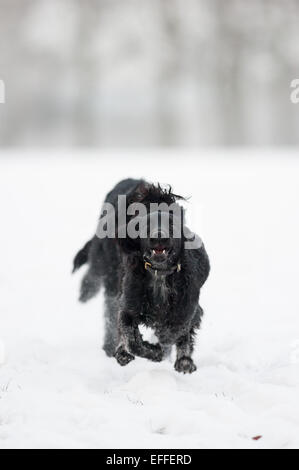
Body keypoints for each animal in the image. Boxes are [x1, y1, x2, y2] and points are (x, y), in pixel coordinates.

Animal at [73, 180, 210, 374]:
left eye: (171, 225)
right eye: (146, 225)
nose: (159, 236)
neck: (159, 275)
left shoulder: (187, 309)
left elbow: (176, 332)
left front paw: (179, 357)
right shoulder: (128, 307)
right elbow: (132, 338)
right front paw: (150, 352)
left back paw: (182, 361)